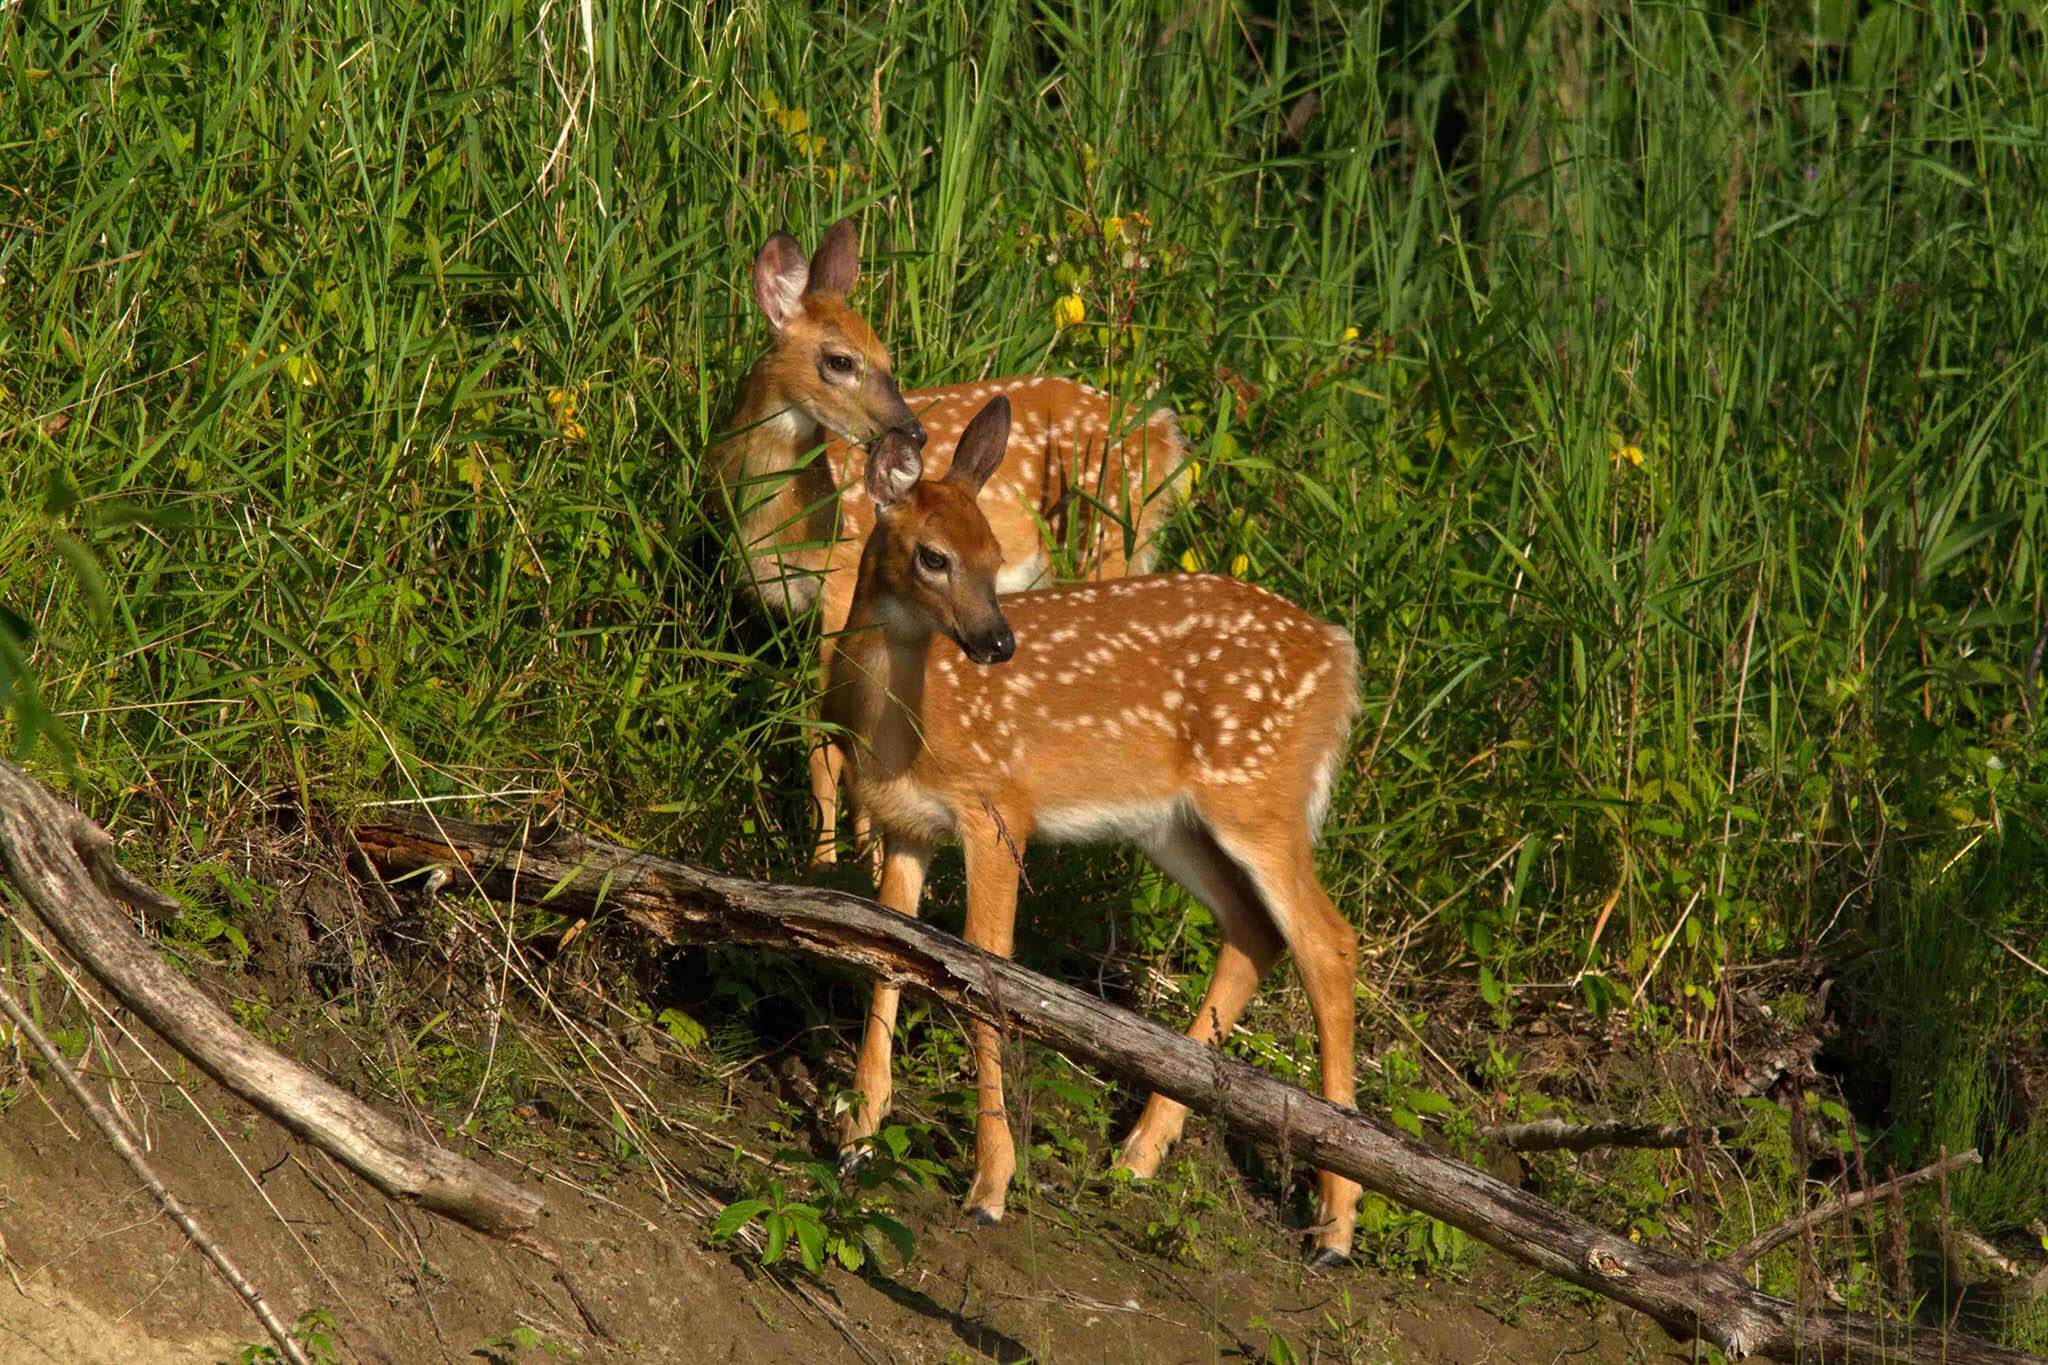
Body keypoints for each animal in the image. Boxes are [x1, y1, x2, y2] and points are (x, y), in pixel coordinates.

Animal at [709, 219, 1191, 868]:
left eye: (888, 359)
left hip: (1105, 543)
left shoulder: (841, 586)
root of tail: (1165, 437)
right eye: (840, 360)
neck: (783, 516)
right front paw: (866, 849)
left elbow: (822, 737)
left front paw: (828, 861)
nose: (913, 432)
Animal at [824, 395, 1364, 1265]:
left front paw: (991, 1185)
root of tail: (1342, 656)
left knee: (1326, 941)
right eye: (934, 556)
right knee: (1254, 931)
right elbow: (887, 957)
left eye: (996, 554)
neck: (902, 725)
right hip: (1172, 822)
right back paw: (1139, 1153)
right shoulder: (905, 825)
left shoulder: (998, 806)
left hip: (1259, 794)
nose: (997, 642)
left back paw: (1336, 1224)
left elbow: (987, 971)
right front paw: (857, 1136)